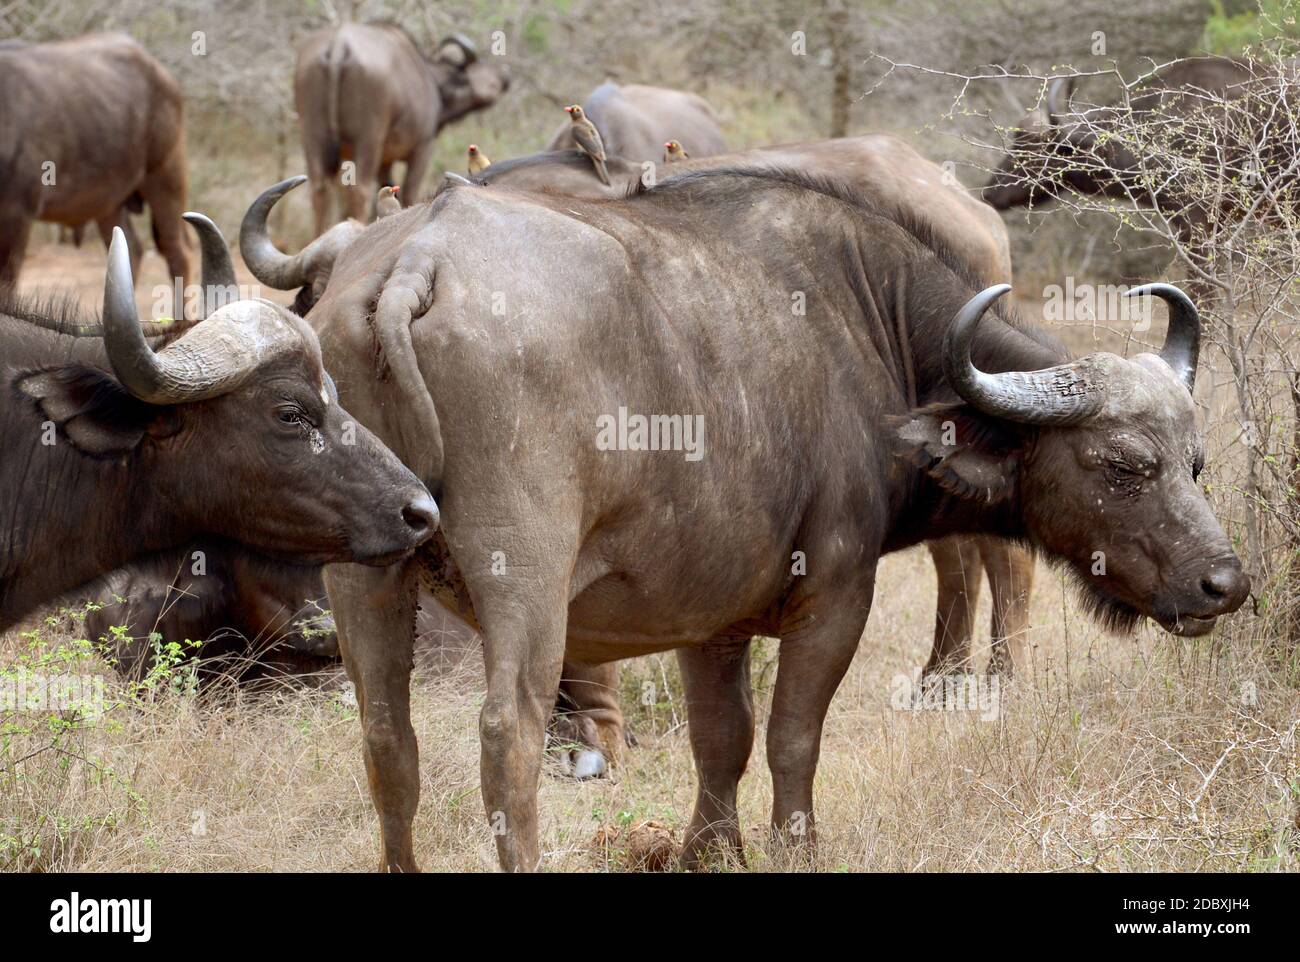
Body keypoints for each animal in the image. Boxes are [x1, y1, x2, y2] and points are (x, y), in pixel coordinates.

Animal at [244, 171, 1248, 873]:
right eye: (1125, 464)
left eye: (1196, 462)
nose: (1224, 583)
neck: (866, 326)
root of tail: (420, 261)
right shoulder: (836, 595)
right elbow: (793, 735)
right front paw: (795, 846)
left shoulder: (709, 616)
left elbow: (720, 736)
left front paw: (708, 847)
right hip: (522, 577)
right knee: (509, 733)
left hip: (365, 571)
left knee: (388, 739)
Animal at [295, 23, 512, 233]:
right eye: (477, 66)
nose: (504, 73)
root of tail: (339, 44)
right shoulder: (423, 147)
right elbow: (409, 190)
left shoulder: (385, 161)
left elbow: (386, 185)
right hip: (368, 139)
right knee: (359, 190)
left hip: (312, 136)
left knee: (320, 189)